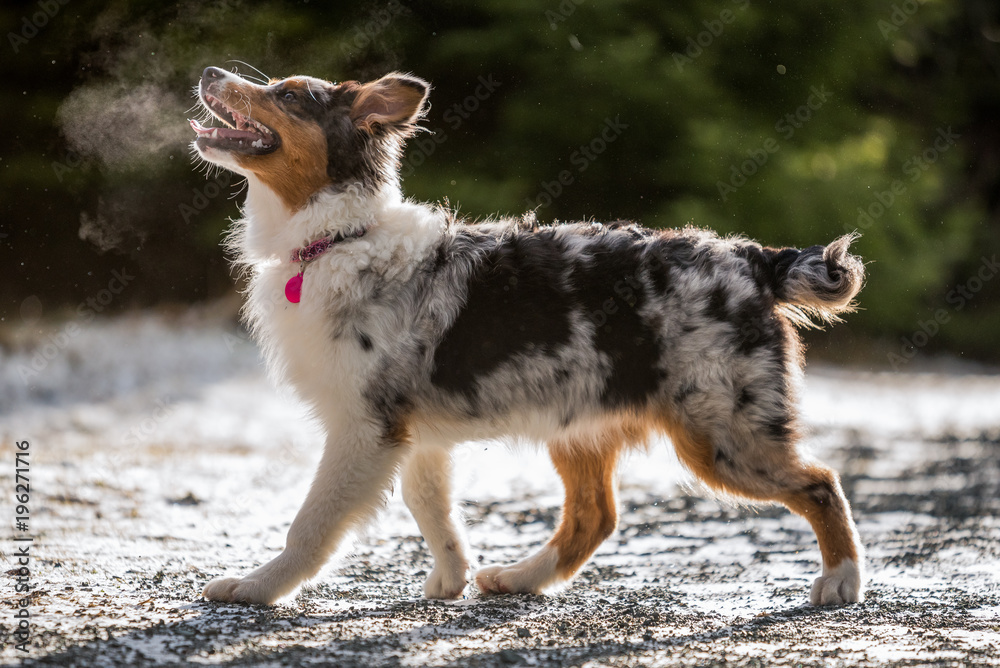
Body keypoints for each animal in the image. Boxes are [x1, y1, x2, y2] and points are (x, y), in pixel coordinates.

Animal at [191, 66, 864, 604]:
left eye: (289, 95)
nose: (210, 71)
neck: (337, 237)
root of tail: (756, 260)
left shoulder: (364, 427)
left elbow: (312, 523)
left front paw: (257, 586)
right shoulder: (414, 433)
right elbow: (431, 506)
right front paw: (452, 578)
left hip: (721, 433)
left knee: (820, 484)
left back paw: (842, 582)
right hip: (583, 423)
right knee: (594, 517)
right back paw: (518, 578)